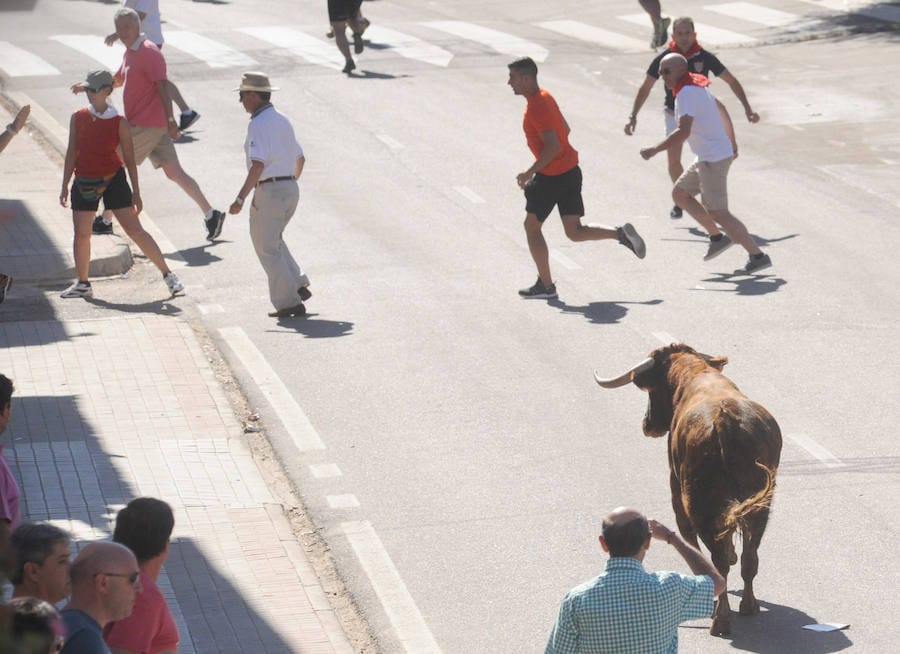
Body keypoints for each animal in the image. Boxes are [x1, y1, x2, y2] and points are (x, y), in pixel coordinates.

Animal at [596, 346, 776, 640]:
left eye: (652, 390)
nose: (647, 425)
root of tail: (725, 420)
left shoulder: (675, 485)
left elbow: (690, 539)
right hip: (762, 506)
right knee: (750, 556)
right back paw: (749, 606)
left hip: (699, 502)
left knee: (717, 561)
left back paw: (720, 621)